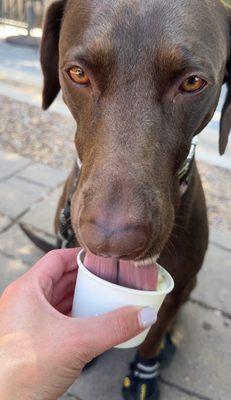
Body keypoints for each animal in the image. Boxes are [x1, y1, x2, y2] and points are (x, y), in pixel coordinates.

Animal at [39, 1, 231, 398]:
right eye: (77, 73)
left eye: (192, 83)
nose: (112, 241)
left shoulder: (179, 286)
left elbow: (154, 333)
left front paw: (145, 371)